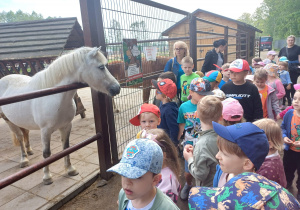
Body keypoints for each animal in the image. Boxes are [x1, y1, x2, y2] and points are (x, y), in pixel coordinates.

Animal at [0, 46, 119, 185]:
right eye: (101, 67)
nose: (117, 88)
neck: (55, 97)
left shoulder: (66, 126)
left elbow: (66, 147)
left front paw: (70, 169)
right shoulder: (45, 131)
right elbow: (46, 154)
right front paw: (47, 177)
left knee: (25, 133)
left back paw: (29, 151)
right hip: (9, 121)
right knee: (19, 137)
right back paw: (24, 159)